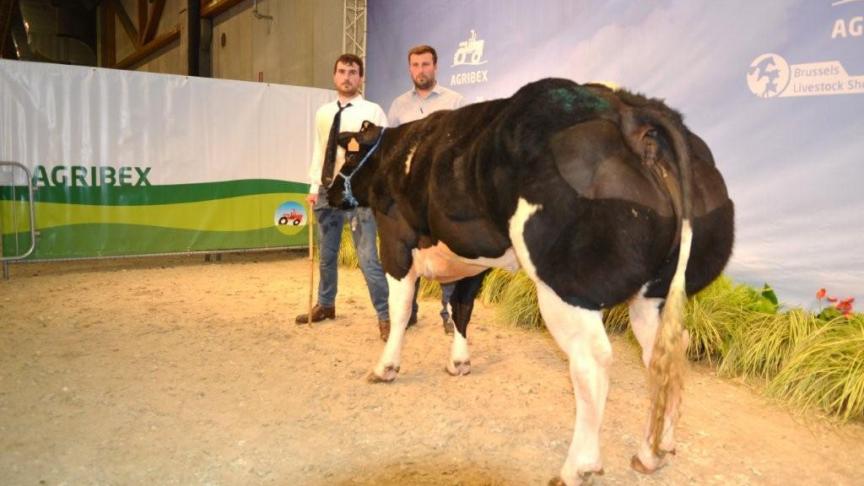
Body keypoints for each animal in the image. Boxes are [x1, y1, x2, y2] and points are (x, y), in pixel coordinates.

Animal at [324, 78, 736, 484]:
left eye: (348, 157)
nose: (328, 192)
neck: (400, 153)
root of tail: (631, 111)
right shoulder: (474, 258)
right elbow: (461, 309)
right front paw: (459, 362)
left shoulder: (395, 240)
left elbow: (400, 310)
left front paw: (385, 367)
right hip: (657, 294)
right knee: (667, 351)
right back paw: (654, 452)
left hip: (567, 285)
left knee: (592, 361)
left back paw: (578, 466)